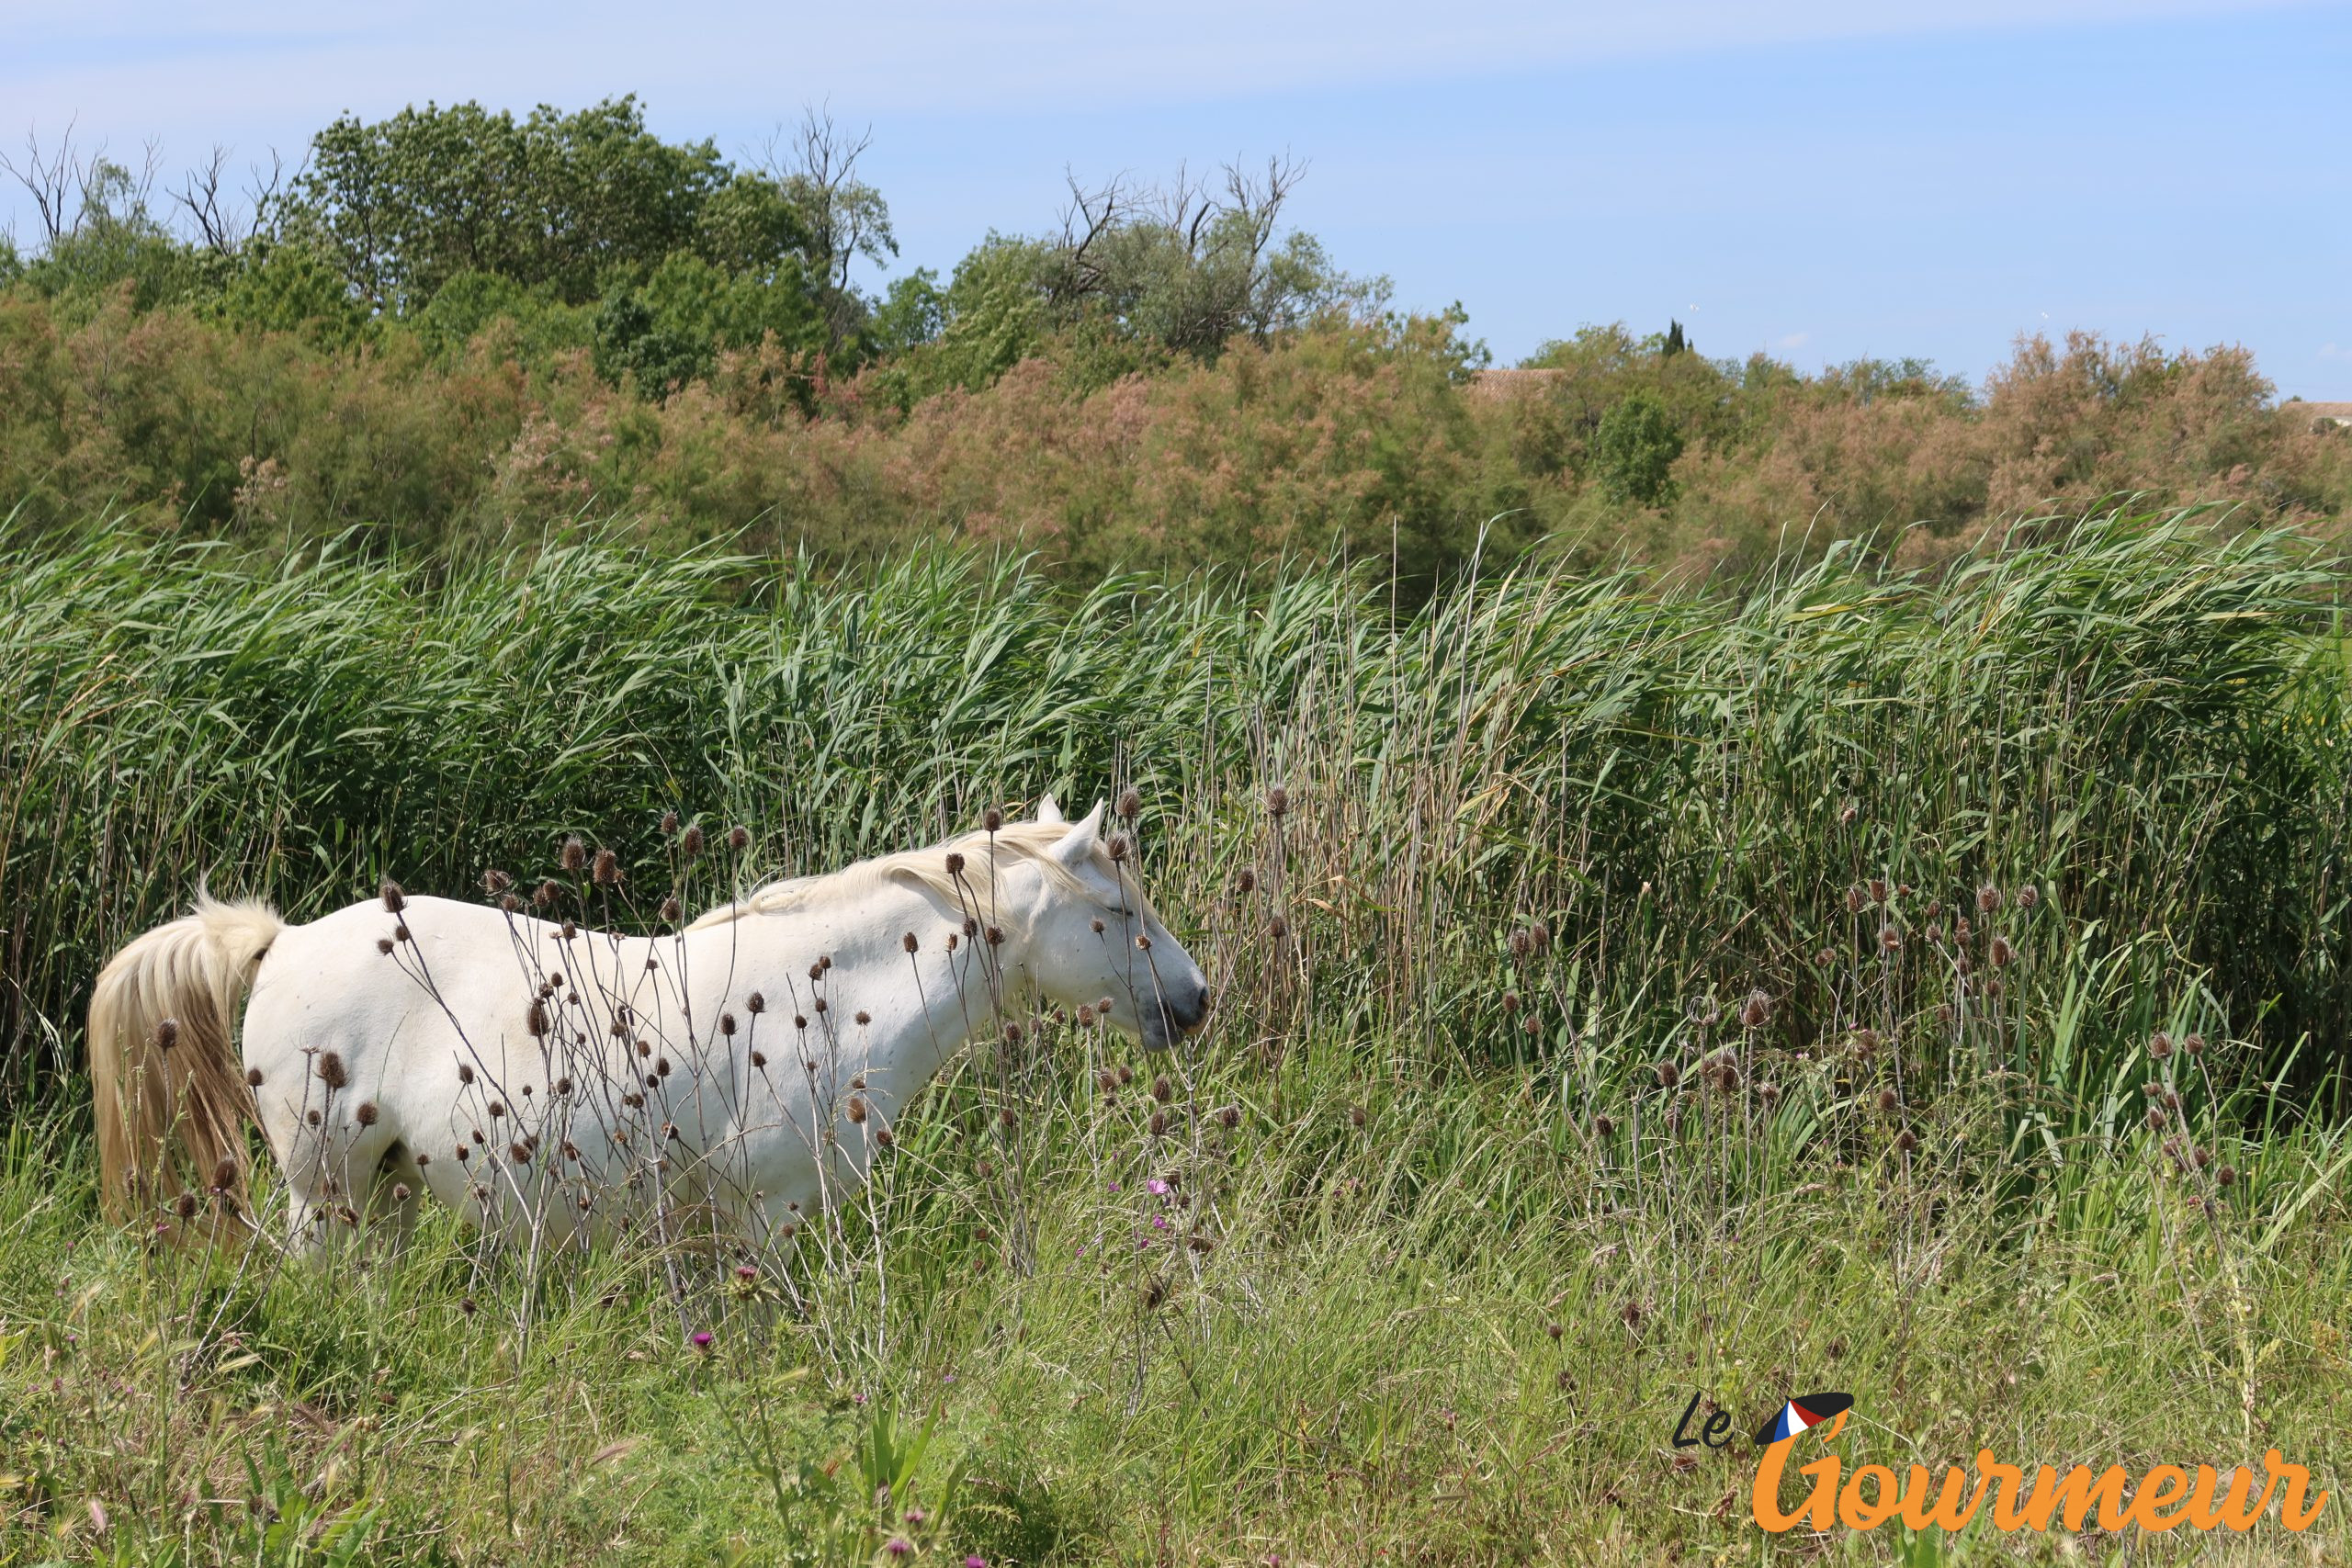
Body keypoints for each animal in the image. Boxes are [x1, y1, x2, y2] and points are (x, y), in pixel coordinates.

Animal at [83, 799, 1204, 1250]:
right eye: (1120, 912)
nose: (1196, 1002)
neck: (823, 1002)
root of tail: (280, 942)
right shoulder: (767, 1216)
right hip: (327, 1191)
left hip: (384, 1190)